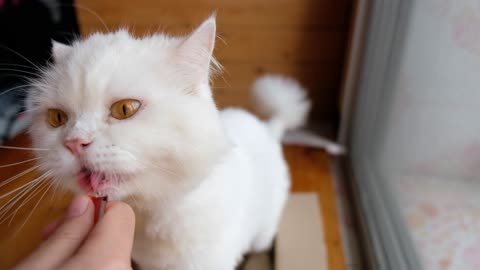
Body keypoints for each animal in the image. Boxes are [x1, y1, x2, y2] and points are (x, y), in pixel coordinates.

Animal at [27, 16, 312, 270]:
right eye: (57, 118)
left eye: (125, 109)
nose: (74, 142)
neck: (148, 214)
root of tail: (268, 127)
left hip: (263, 232)